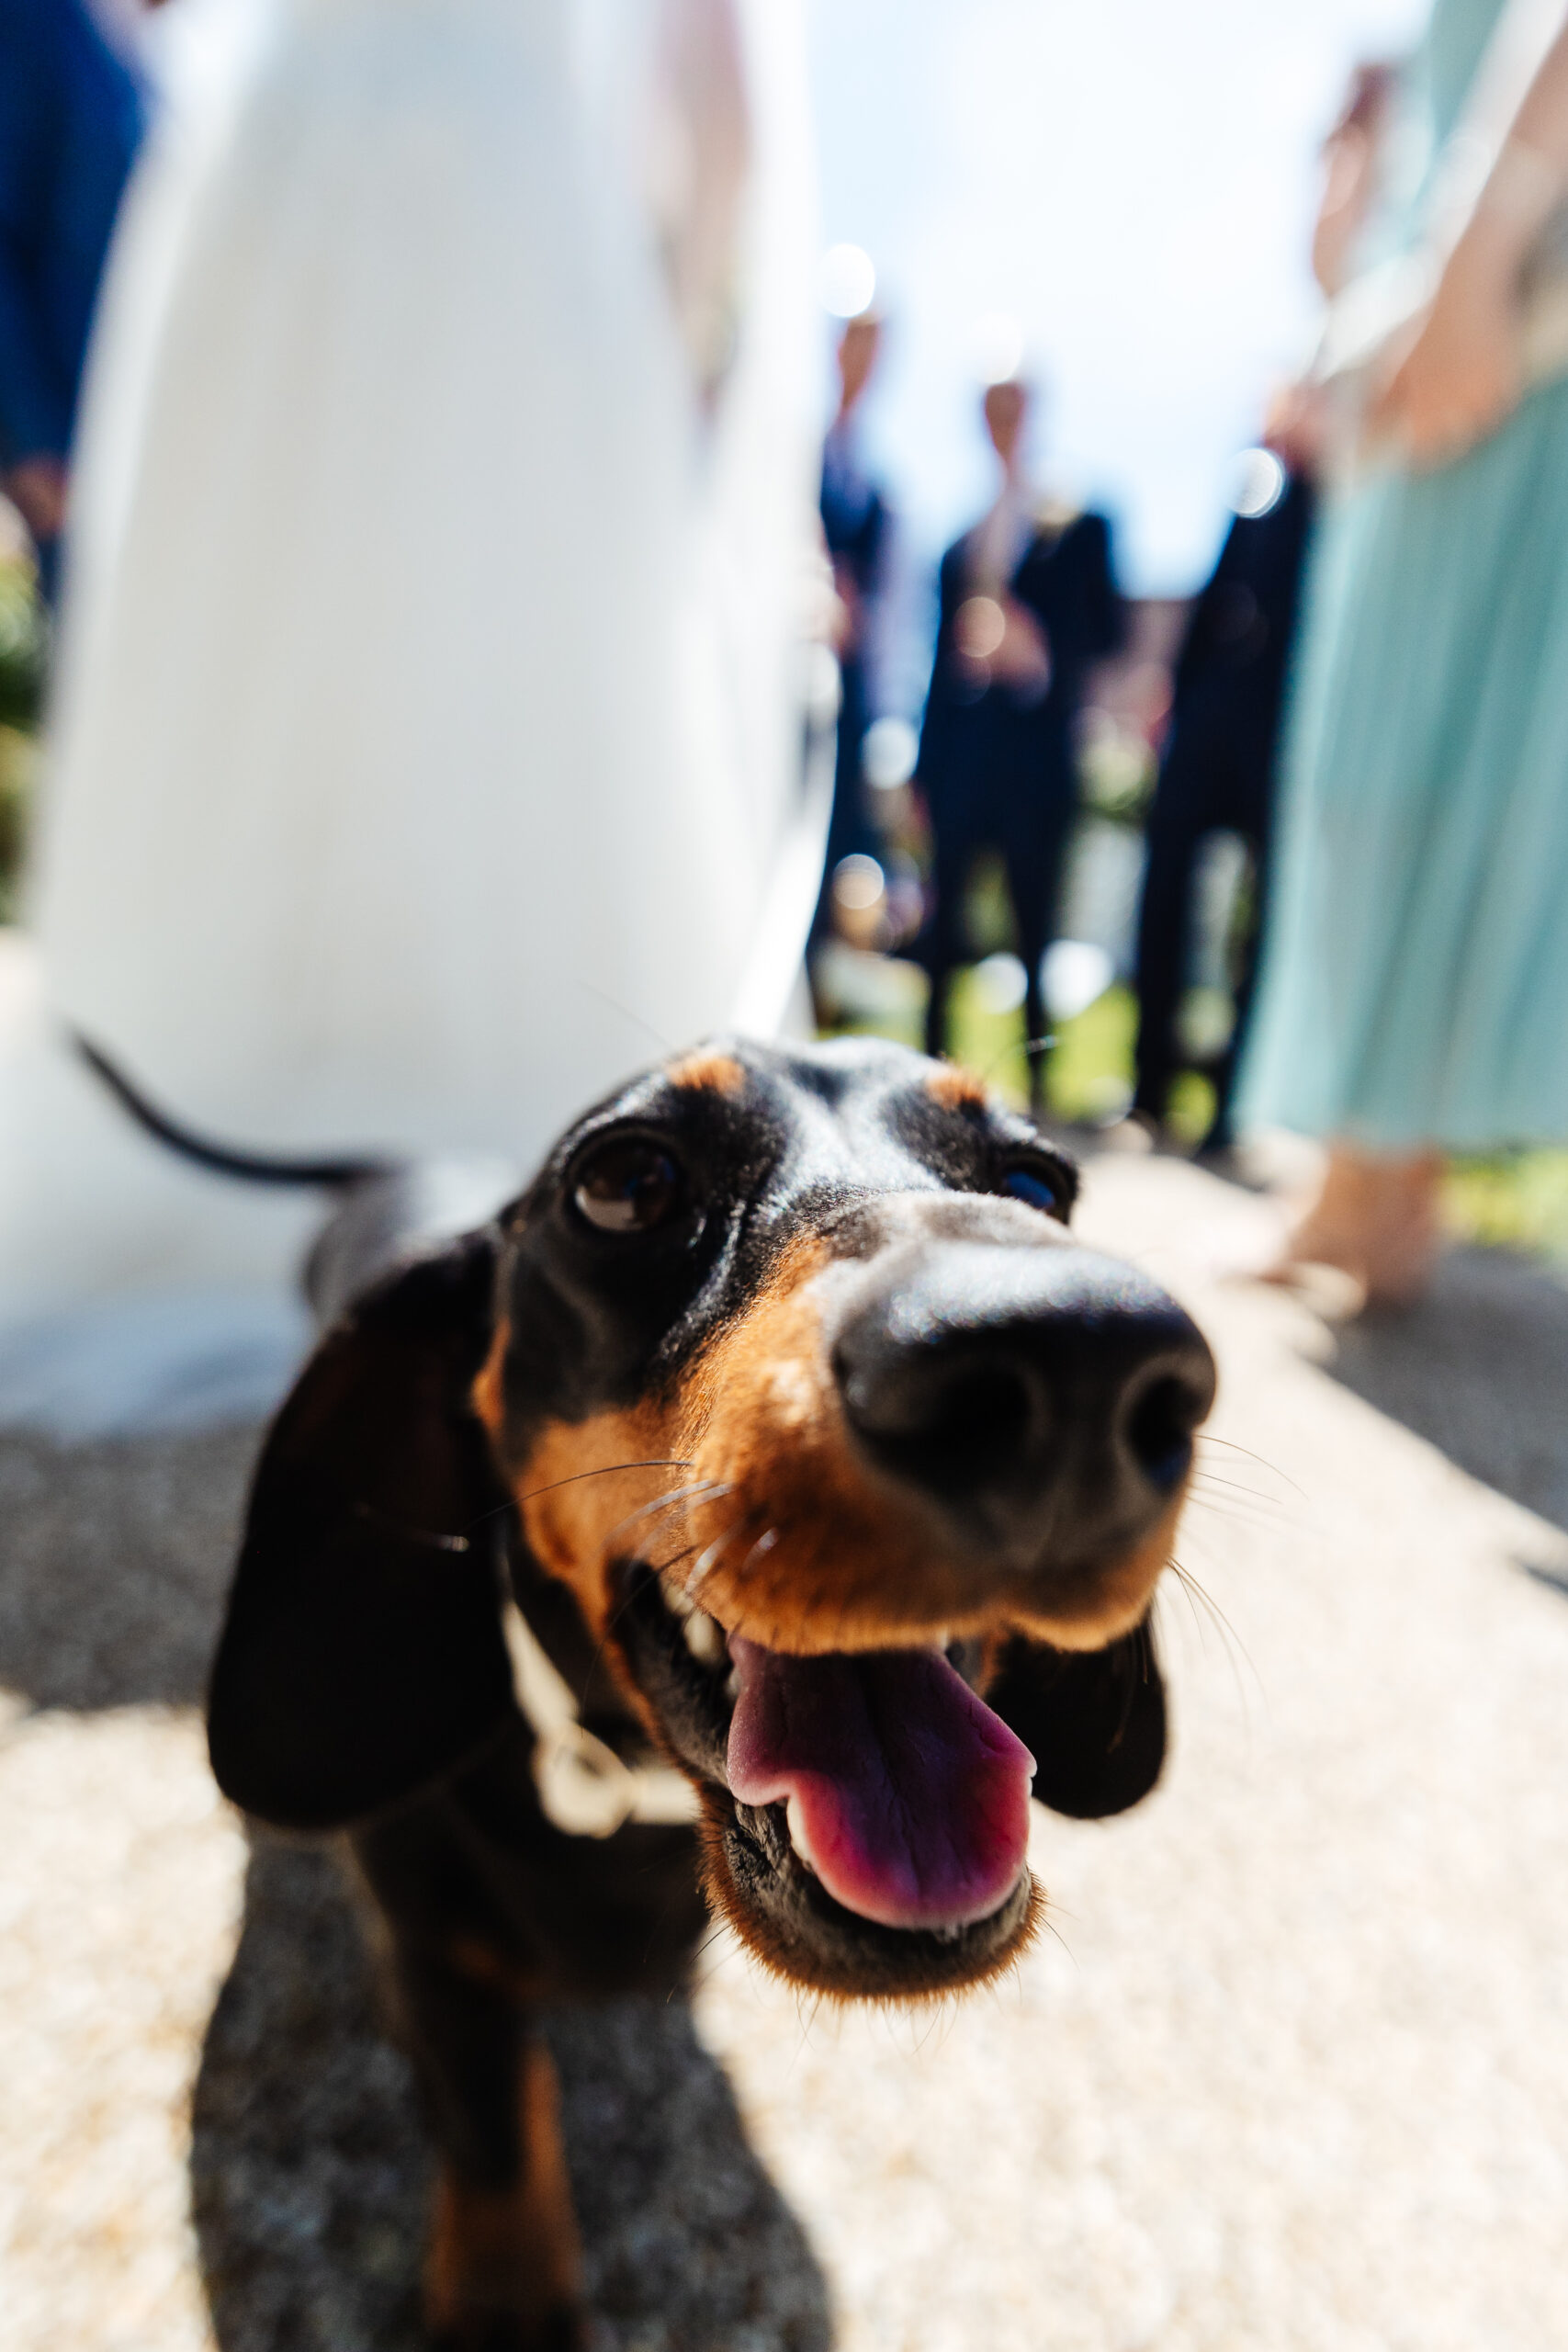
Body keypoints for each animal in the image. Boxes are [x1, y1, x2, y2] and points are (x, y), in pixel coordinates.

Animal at [88, 1035, 1213, 2352]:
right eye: (625, 1181)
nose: (1072, 1360)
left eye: (1039, 1183)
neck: (616, 1797)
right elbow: (494, 2137)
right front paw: (506, 2299)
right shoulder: (439, 1973)